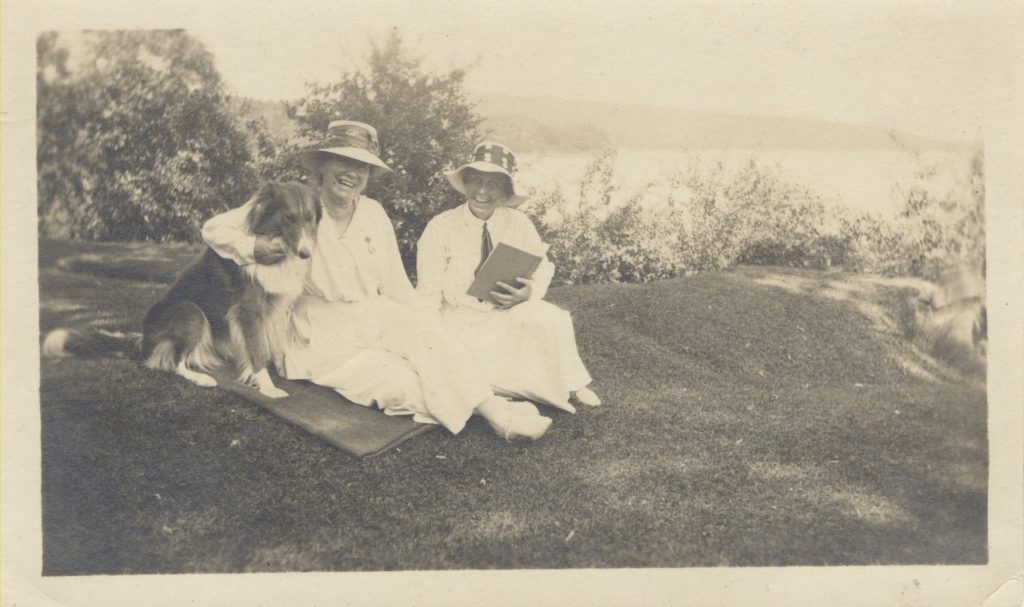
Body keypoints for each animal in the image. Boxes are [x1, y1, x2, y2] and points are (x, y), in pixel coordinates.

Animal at [43, 181, 319, 397]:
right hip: (190, 311)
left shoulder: (277, 306)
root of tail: (144, 340)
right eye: (288, 217)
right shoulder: (247, 311)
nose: (306, 253)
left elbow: (275, 343)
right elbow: (258, 351)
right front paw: (268, 387)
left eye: (310, 218)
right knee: (171, 363)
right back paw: (200, 377)